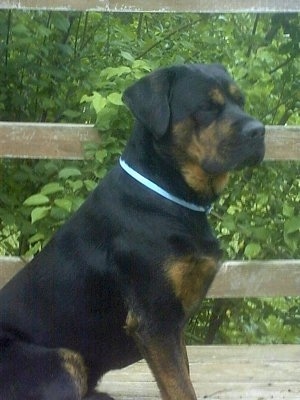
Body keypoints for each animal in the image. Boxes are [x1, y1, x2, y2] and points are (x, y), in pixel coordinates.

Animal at [0, 64, 264, 398]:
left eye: (240, 102)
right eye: (206, 107)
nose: (259, 130)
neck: (169, 193)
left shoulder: (172, 323)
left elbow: (181, 374)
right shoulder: (155, 318)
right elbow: (181, 386)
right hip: (60, 362)